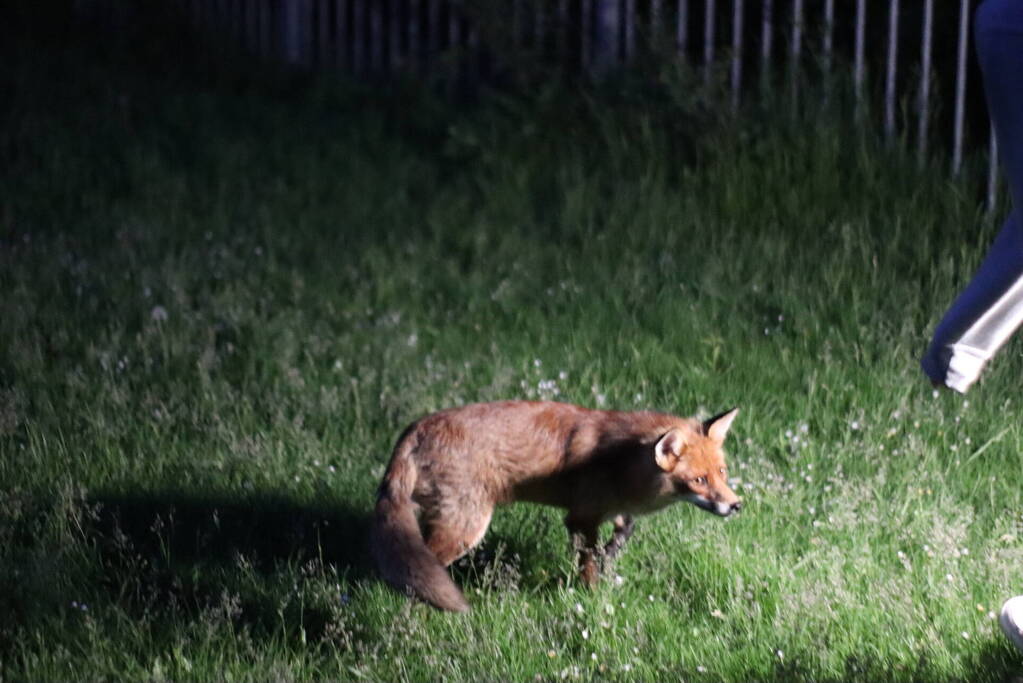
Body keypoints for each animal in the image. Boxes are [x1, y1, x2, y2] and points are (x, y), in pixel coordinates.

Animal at [372, 396, 740, 609]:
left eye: (722, 473)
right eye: (699, 480)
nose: (737, 506)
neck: (624, 462)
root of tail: (415, 428)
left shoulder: (609, 509)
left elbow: (623, 532)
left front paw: (611, 556)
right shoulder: (581, 518)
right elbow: (588, 565)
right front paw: (593, 596)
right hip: (465, 526)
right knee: (420, 569)